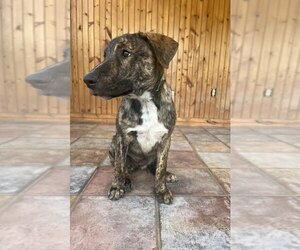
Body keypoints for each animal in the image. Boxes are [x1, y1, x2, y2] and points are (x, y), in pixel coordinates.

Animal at [83, 32, 178, 204]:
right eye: (105, 55)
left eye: (126, 53)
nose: (87, 79)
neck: (145, 100)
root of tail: (140, 166)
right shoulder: (122, 137)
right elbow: (119, 167)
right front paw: (116, 187)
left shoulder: (166, 139)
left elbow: (161, 167)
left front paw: (162, 189)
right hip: (113, 143)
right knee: (122, 166)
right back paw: (126, 179)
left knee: (153, 167)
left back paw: (166, 174)